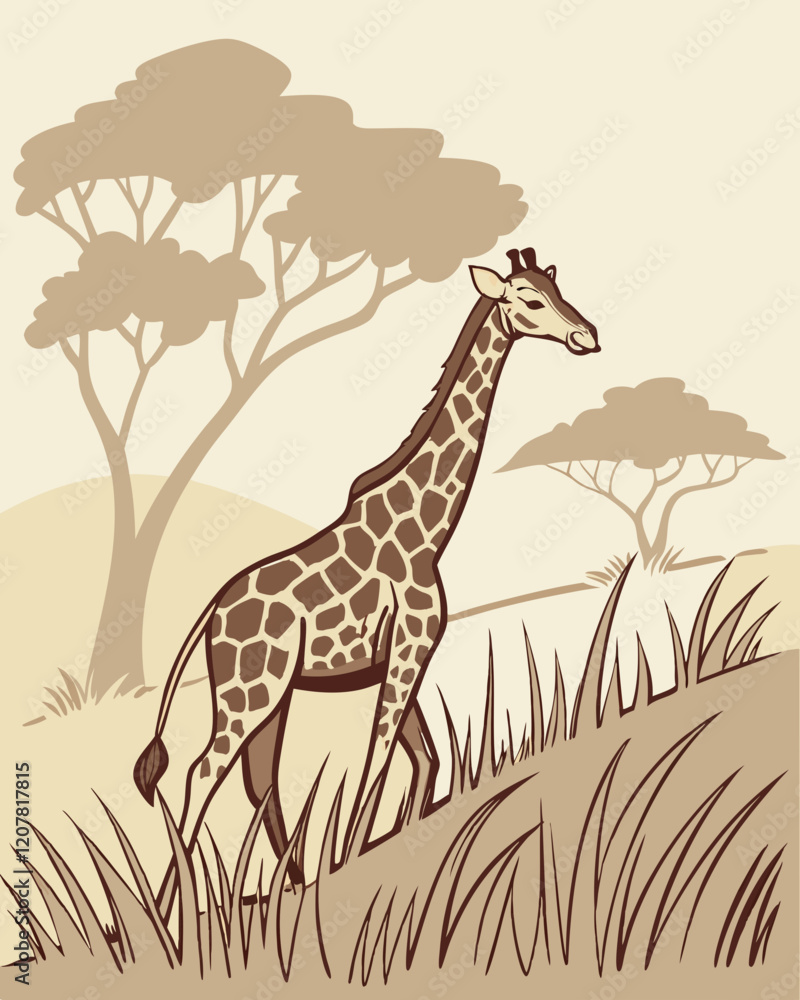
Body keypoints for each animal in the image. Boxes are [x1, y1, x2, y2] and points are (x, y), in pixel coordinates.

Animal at [134, 245, 599, 891]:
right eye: (529, 299)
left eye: (558, 291)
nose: (587, 336)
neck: (429, 531)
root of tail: (211, 613)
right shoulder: (408, 648)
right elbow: (378, 759)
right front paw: (351, 863)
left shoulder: (404, 652)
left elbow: (425, 759)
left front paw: (367, 857)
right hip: (251, 690)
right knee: (203, 774)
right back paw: (178, 911)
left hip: (273, 693)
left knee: (259, 780)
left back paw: (288, 887)